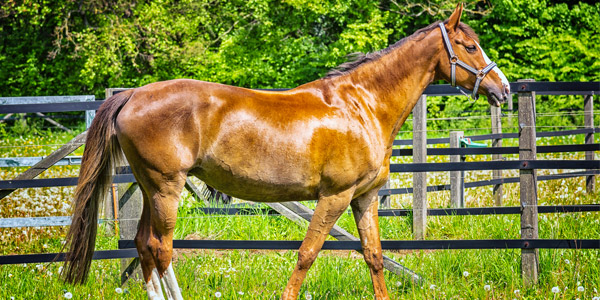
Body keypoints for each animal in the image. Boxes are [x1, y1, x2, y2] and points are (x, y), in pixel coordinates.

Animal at [63, 5, 508, 300]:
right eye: (470, 46)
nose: (502, 88)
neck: (361, 105)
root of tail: (133, 94)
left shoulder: (364, 198)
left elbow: (374, 255)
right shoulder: (334, 197)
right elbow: (307, 255)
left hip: (151, 188)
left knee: (144, 247)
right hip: (166, 189)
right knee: (161, 249)